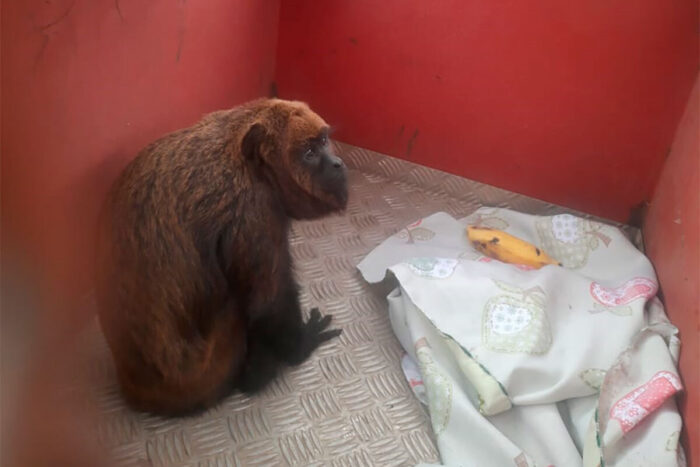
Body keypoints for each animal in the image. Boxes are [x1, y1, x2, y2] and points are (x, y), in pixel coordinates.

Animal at [95, 98, 348, 416]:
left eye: (324, 141)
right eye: (310, 154)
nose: (338, 163)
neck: (249, 163)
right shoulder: (255, 212)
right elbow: (269, 304)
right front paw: (301, 347)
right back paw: (256, 375)